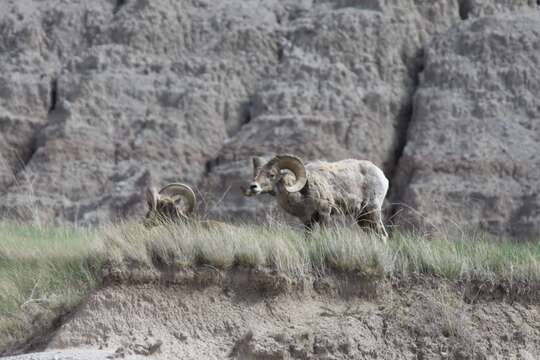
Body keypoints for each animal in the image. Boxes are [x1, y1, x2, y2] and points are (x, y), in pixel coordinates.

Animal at [244, 154, 388, 240]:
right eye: (256, 174)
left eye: (272, 175)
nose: (253, 187)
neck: (302, 195)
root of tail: (382, 176)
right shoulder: (308, 221)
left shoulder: (325, 213)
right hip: (362, 218)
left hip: (372, 211)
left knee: (382, 235)